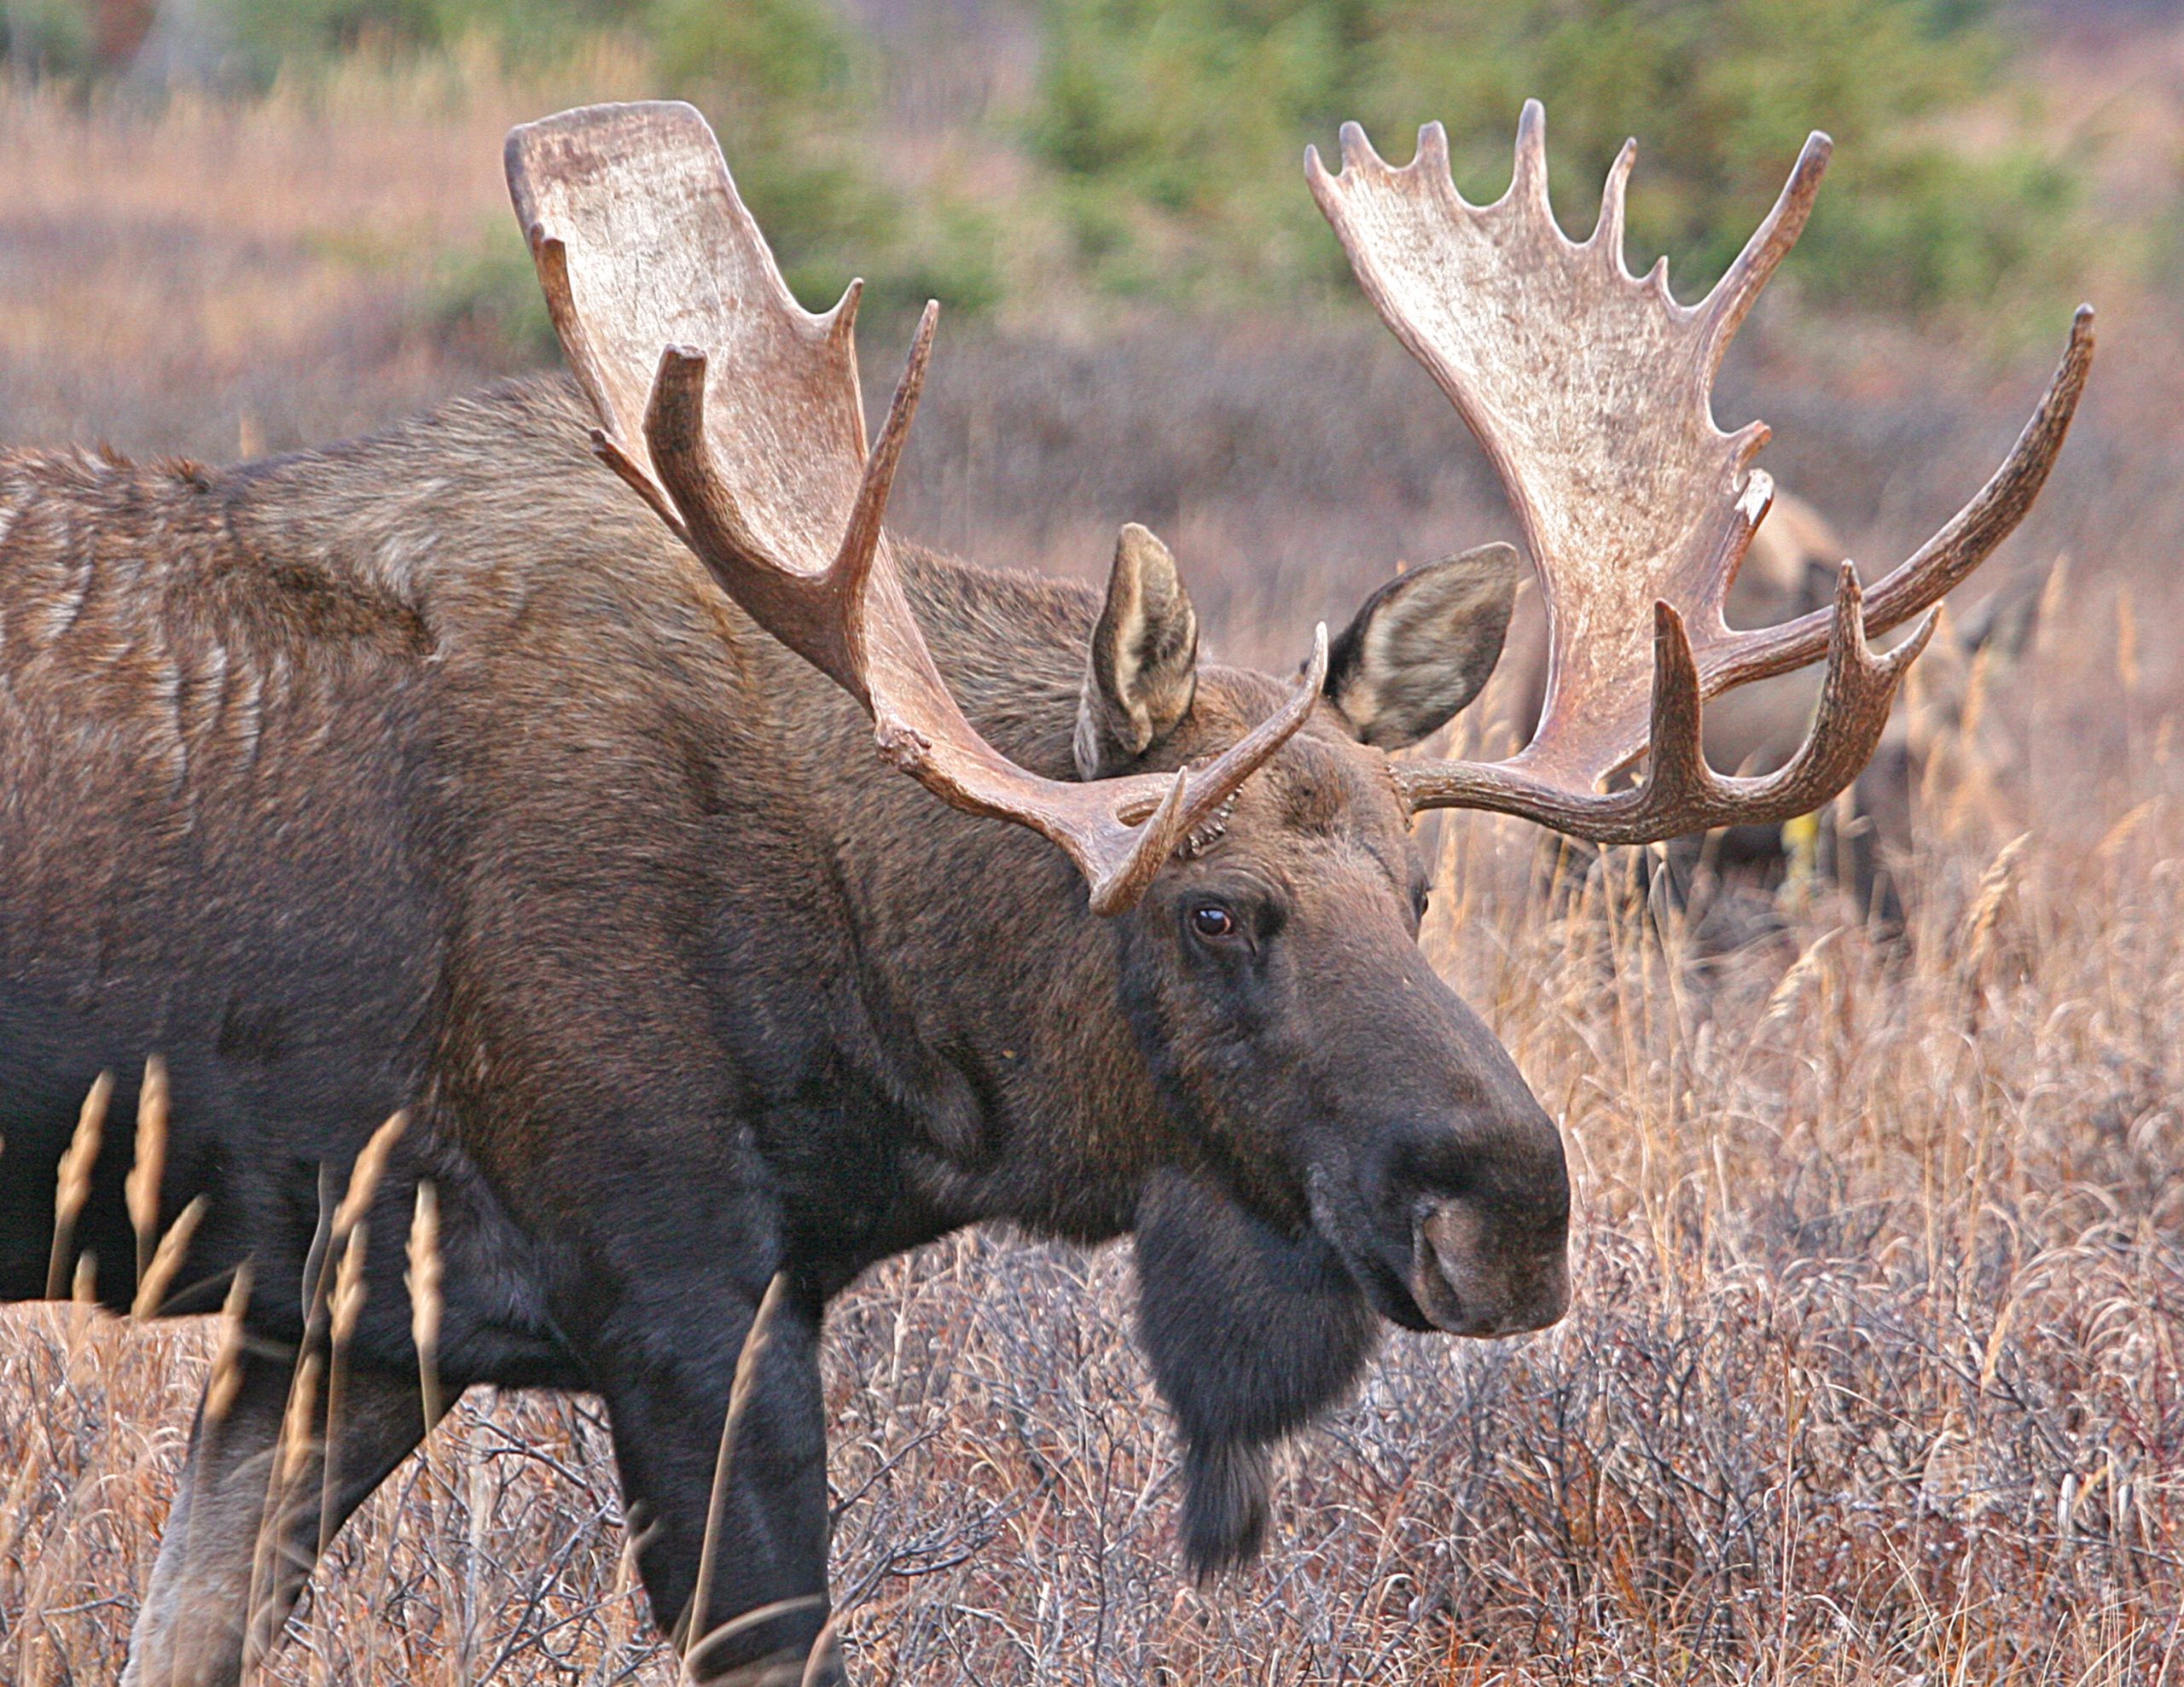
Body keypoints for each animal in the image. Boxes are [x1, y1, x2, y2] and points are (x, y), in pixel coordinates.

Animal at [0, 98, 2088, 1678]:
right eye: (1213, 908)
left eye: (1421, 890)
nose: (1513, 1208)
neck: (879, 1032)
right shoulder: (676, 1293)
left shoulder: (340, 1320)